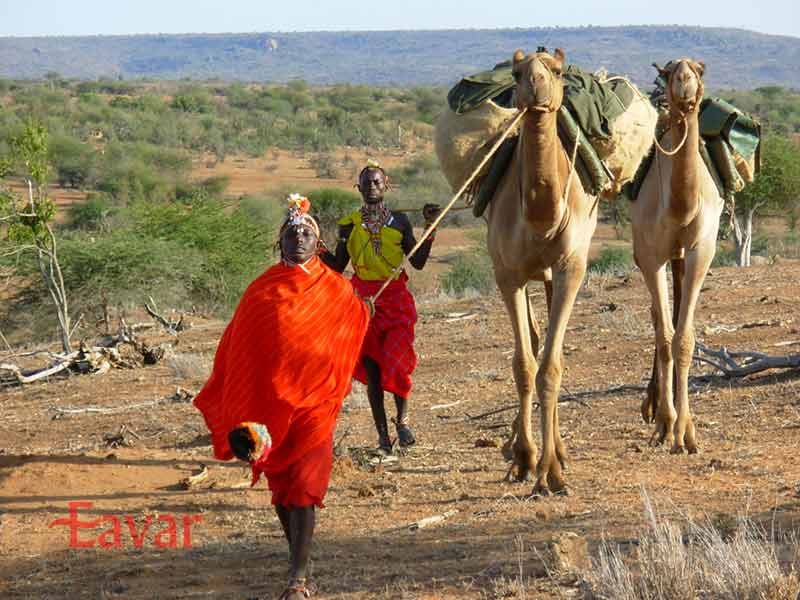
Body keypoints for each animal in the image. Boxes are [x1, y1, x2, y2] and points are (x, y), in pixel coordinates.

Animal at [484, 49, 596, 494]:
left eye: (558, 69)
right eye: (516, 72)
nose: (534, 82)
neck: (540, 217)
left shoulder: (570, 269)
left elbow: (551, 365)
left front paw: (551, 472)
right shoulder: (507, 274)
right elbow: (524, 364)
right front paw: (524, 458)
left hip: (552, 275)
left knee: (549, 344)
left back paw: (558, 451)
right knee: (533, 340)